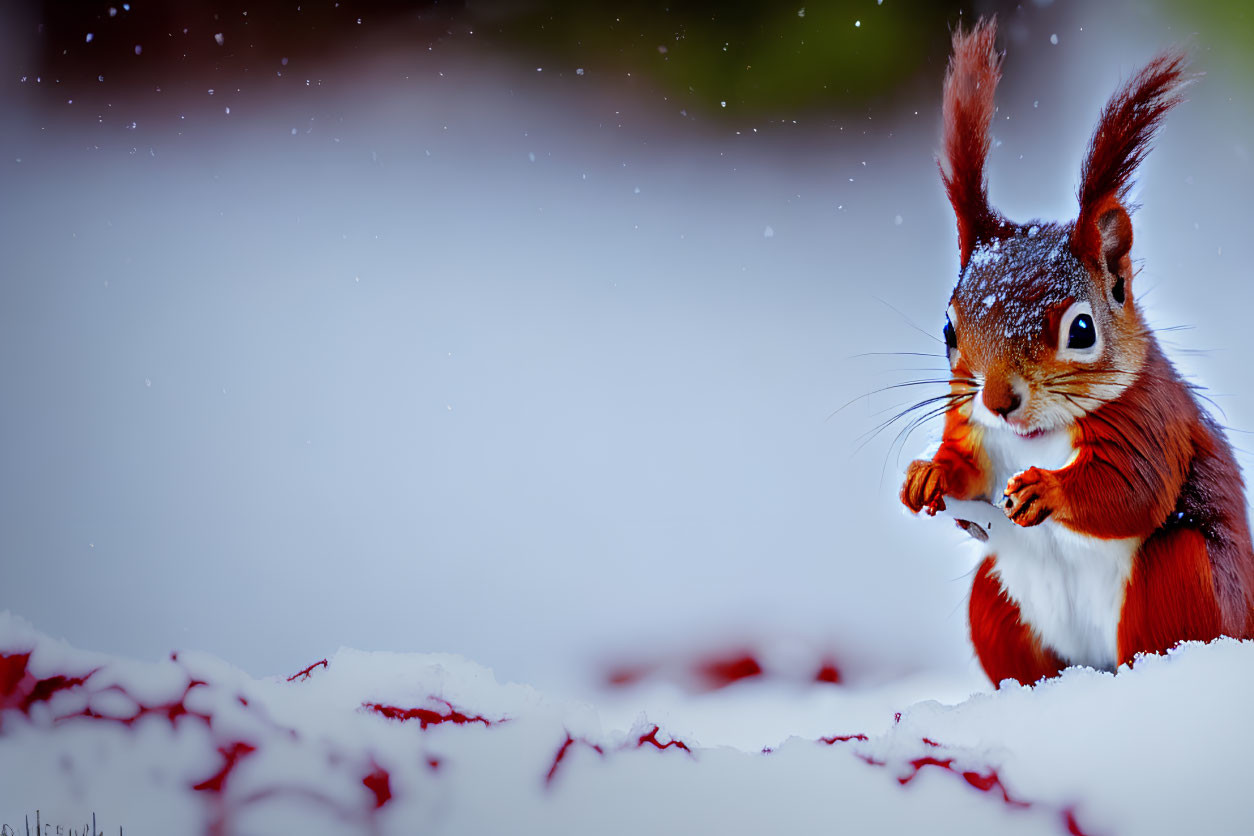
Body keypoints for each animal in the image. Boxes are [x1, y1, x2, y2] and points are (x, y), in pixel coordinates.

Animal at [902, 18, 1254, 686]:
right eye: (949, 331)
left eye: (1083, 330)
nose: (999, 400)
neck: (1035, 437)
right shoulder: (969, 423)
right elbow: (966, 473)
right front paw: (929, 473)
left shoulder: (1150, 418)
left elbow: (1133, 489)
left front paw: (1049, 492)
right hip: (996, 604)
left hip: (1181, 581)